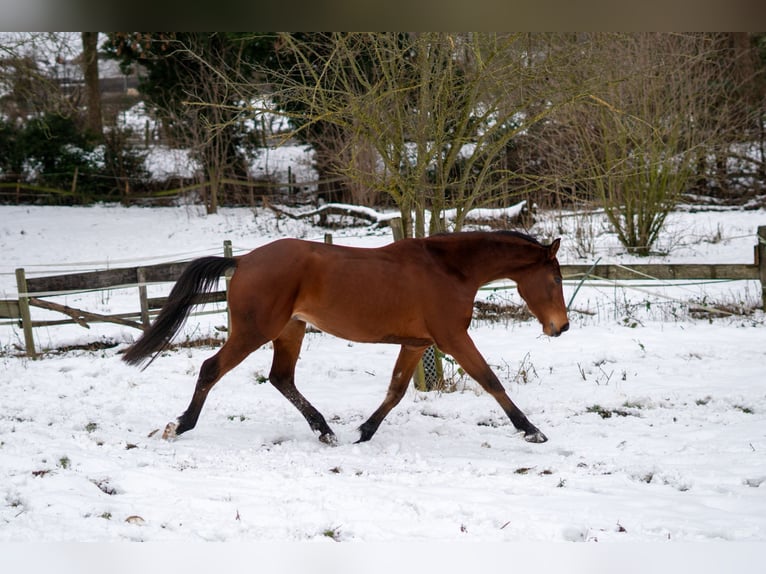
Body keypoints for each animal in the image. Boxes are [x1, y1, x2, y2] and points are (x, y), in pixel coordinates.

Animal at [123, 231, 569, 445]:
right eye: (555, 279)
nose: (560, 327)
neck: (450, 270)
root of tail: (244, 260)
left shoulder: (416, 343)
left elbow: (395, 391)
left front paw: (364, 432)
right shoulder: (452, 338)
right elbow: (491, 381)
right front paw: (532, 430)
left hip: (290, 330)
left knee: (281, 378)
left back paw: (325, 431)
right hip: (254, 331)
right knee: (211, 368)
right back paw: (179, 425)